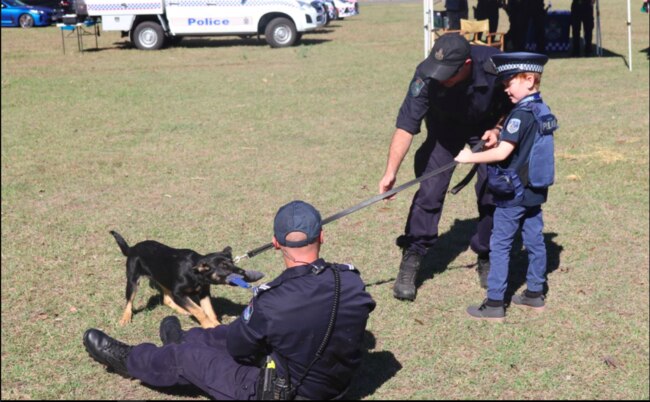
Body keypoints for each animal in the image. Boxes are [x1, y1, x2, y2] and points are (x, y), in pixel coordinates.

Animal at [109, 231, 260, 328]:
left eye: (233, 263)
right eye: (224, 267)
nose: (243, 272)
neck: (196, 273)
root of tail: (132, 248)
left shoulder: (204, 293)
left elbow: (209, 311)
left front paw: (216, 324)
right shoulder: (179, 293)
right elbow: (199, 310)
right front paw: (208, 325)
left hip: (163, 279)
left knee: (166, 299)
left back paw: (183, 310)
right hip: (133, 281)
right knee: (129, 301)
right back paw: (125, 318)